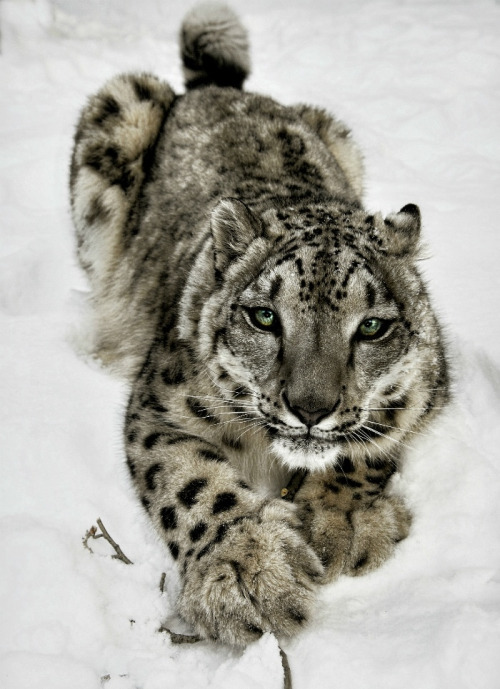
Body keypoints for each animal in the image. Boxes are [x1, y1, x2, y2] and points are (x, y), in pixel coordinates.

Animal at [68, 1, 448, 644]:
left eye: (372, 327)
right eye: (265, 317)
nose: (311, 408)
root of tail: (216, 89)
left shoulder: (425, 390)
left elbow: (373, 441)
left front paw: (345, 523)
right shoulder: (160, 407)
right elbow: (189, 481)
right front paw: (248, 573)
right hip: (118, 112)